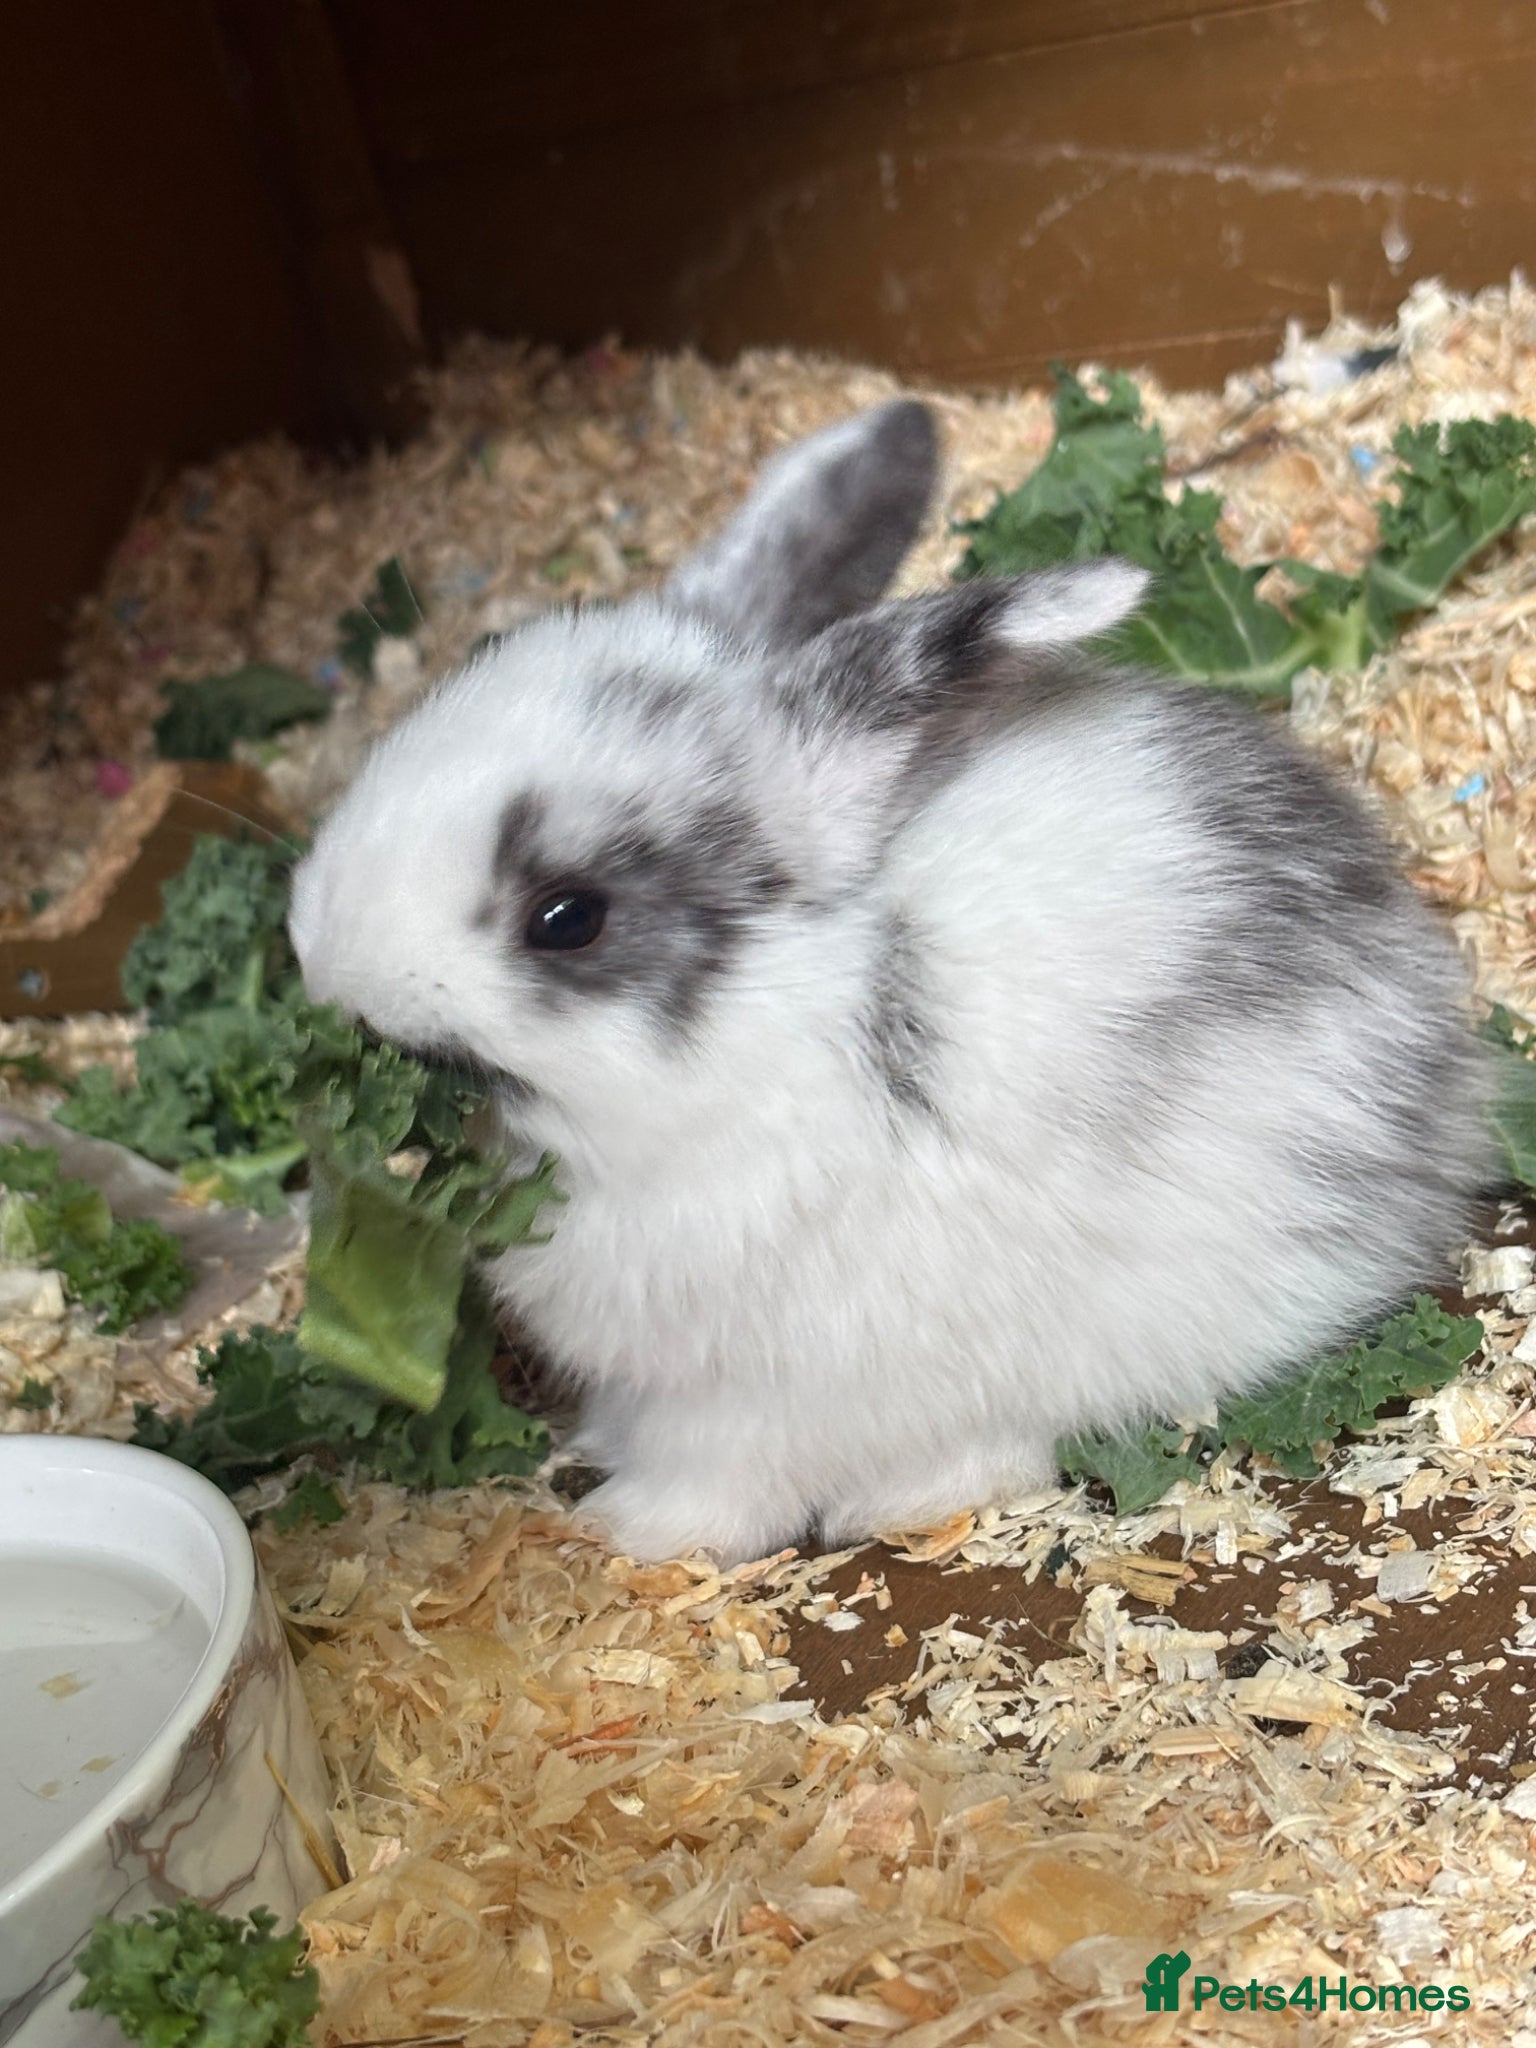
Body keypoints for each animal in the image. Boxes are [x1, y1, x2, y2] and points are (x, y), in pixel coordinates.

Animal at [288, 397, 1497, 1564]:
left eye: (567, 917)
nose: (327, 963)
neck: (780, 1036)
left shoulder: (751, 1390)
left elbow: (720, 1479)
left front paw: (627, 1532)